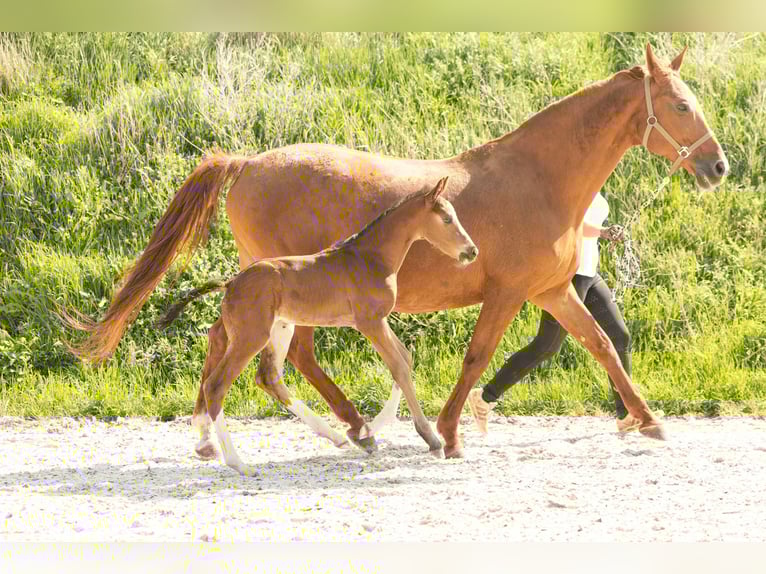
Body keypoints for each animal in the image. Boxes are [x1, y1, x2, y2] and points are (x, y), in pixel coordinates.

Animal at [156, 177, 477, 474]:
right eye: (447, 219)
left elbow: (405, 360)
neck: (371, 258)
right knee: (217, 385)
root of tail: (231, 283)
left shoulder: (379, 321)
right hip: (251, 336)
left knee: (267, 376)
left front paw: (366, 433)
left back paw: (333, 436)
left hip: (280, 328)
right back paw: (238, 463)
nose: (471, 251)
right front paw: (430, 440)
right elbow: (398, 366)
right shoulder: (370, 322)